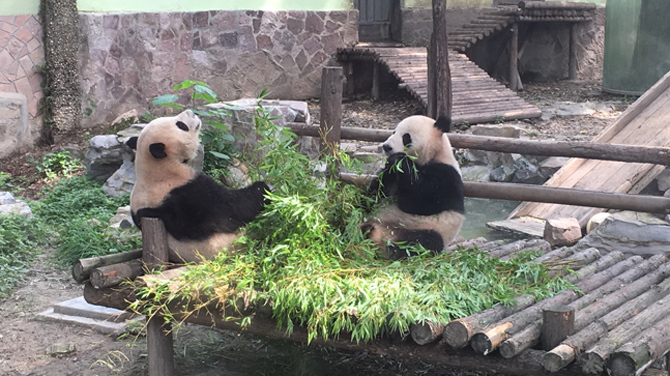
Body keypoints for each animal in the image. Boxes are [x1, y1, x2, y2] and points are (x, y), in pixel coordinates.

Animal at [127, 108, 270, 262]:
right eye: (181, 125)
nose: (191, 112)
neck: (156, 169)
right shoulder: (188, 194)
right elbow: (234, 208)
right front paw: (262, 188)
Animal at [362, 114, 468, 260]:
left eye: (406, 137)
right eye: (394, 131)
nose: (386, 147)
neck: (435, 154)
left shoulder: (446, 176)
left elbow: (418, 202)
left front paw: (399, 160)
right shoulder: (389, 177)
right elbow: (376, 191)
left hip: (423, 229)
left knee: (426, 241)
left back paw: (393, 249)